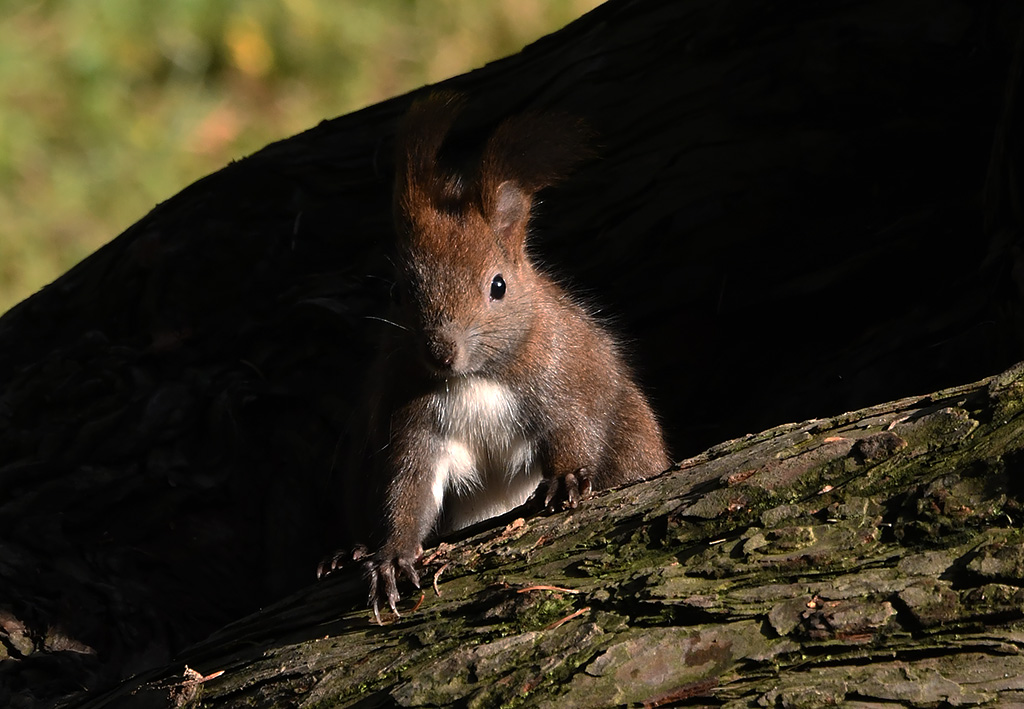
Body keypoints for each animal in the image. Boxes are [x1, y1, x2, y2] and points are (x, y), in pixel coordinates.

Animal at [329, 92, 671, 618]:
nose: (442, 351)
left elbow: (576, 427)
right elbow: (407, 486)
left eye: (498, 286)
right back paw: (348, 551)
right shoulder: (412, 419)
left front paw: (566, 478)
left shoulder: (560, 375)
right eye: (397, 292)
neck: (474, 379)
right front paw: (390, 556)